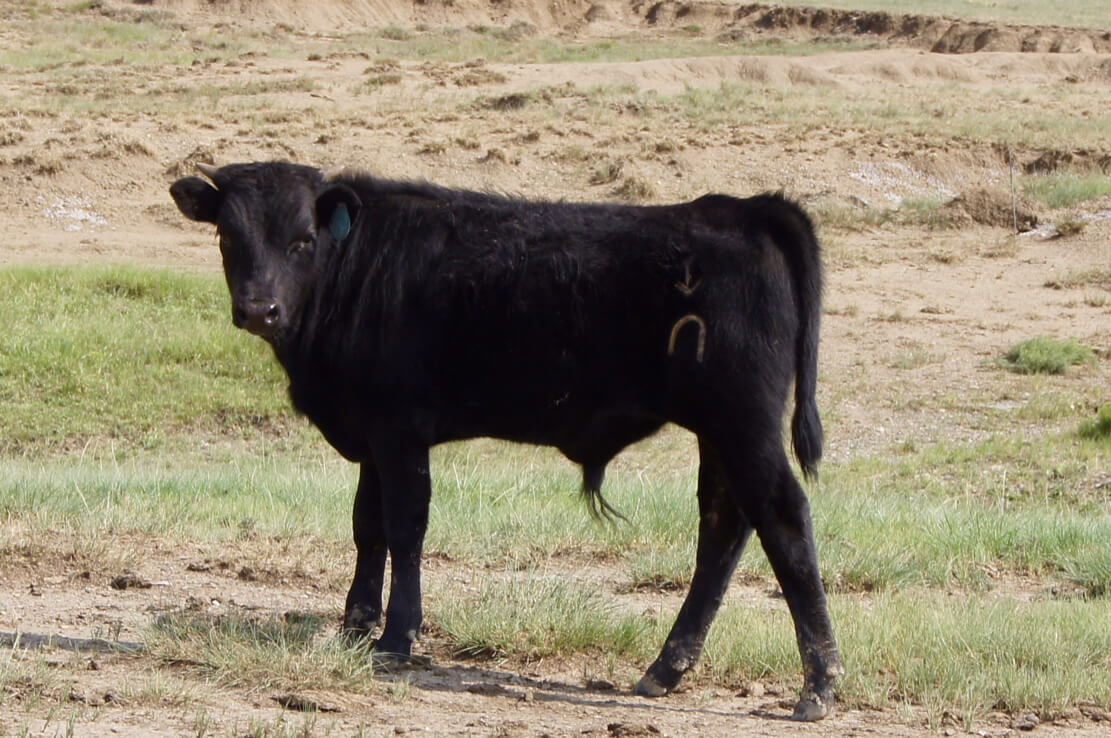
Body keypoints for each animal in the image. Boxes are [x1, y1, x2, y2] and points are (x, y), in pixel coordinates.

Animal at [169, 161, 843, 721]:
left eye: (303, 240)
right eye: (228, 238)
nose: (260, 309)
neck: (355, 268)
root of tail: (743, 208)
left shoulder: (399, 432)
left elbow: (406, 527)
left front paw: (396, 636)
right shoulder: (371, 434)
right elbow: (368, 527)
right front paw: (355, 625)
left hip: (744, 423)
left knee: (783, 520)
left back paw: (818, 684)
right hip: (719, 432)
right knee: (724, 525)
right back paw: (666, 667)